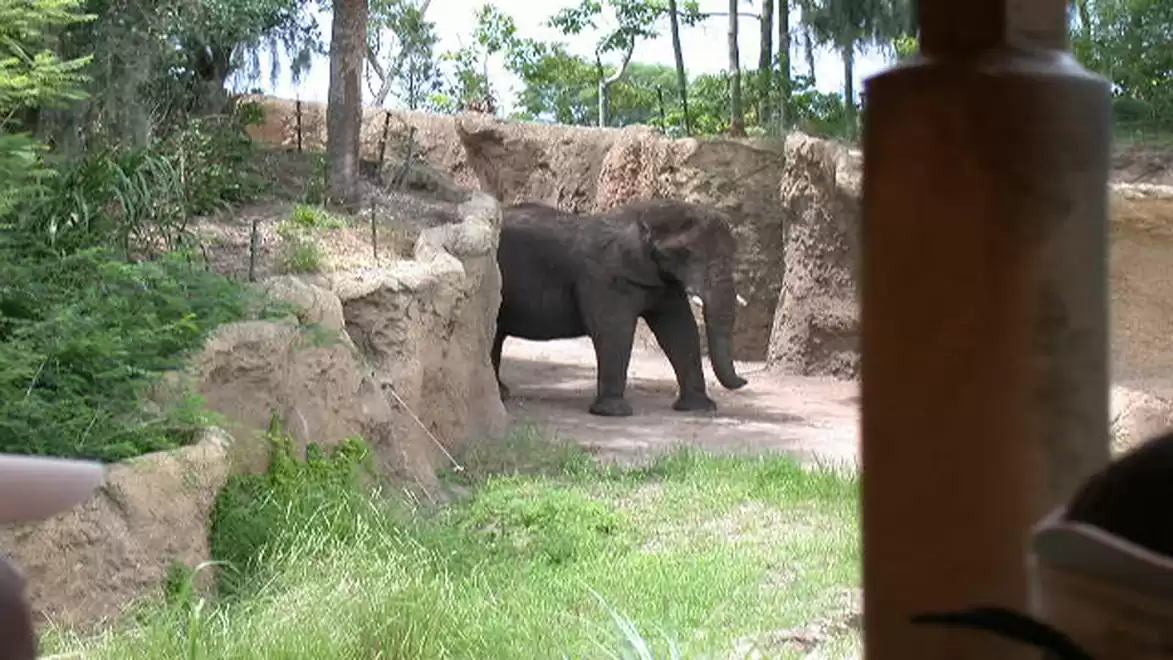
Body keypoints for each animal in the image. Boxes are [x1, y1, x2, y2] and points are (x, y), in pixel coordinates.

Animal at [491, 198, 748, 417]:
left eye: (733, 251)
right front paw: (614, 413)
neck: (644, 215)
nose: (745, 381)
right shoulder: (605, 278)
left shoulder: (664, 281)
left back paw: (502, 393)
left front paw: (700, 408)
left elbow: (680, 331)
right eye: (685, 253)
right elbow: (615, 330)